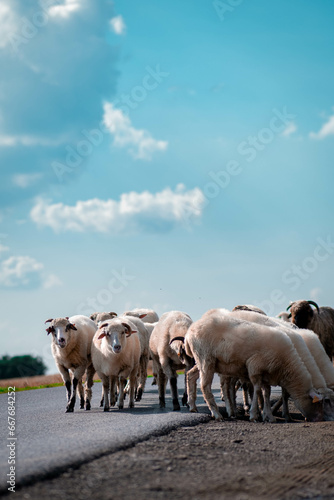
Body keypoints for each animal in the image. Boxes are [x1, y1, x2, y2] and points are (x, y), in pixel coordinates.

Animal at [183, 308, 324, 422]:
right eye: (319, 403)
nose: (321, 418)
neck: (287, 364)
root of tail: (189, 333)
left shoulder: (267, 371)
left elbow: (267, 392)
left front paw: (268, 415)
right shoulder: (255, 366)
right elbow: (257, 389)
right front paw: (255, 414)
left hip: (208, 361)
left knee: (191, 375)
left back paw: (193, 406)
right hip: (205, 359)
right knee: (205, 386)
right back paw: (217, 414)